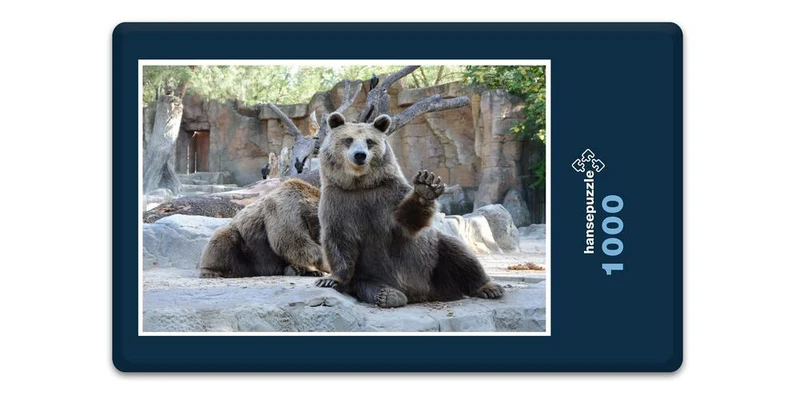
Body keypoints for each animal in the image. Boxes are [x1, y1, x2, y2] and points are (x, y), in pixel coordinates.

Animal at [198, 178, 329, 278]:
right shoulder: (287, 210)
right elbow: (292, 242)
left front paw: (313, 271)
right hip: (246, 250)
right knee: (222, 238)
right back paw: (211, 272)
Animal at [314, 112, 504, 308]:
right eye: (348, 139)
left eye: (369, 141)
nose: (360, 155)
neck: (360, 185)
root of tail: (421, 294)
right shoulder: (339, 202)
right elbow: (339, 240)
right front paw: (330, 280)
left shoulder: (388, 197)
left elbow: (407, 221)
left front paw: (426, 185)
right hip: (370, 274)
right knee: (367, 285)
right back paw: (388, 295)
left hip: (433, 262)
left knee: (459, 254)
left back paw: (489, 288)